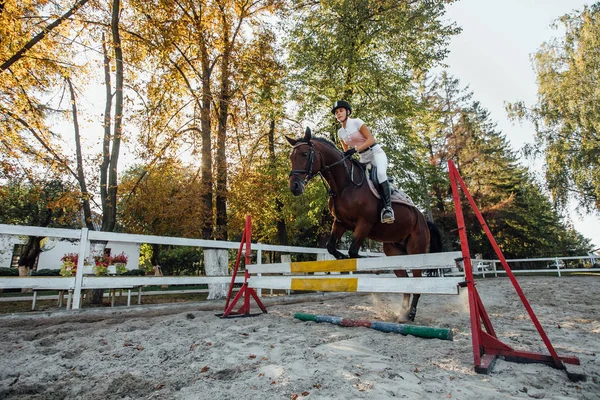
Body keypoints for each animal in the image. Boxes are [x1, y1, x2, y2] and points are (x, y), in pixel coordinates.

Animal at [286, 128, 440, 322]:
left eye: (305, 154)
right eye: (291, 157)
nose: (294, 187)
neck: (344, 184)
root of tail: (423, 219)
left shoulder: (364, 224)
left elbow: (353, 251)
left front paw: (367, 265)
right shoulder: (340, 223)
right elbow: (332, 247)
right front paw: (342, 259)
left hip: (415, 249)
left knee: (417, 282)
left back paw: (410, 314)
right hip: (394, 250)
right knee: (406, 281)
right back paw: (402, 314)